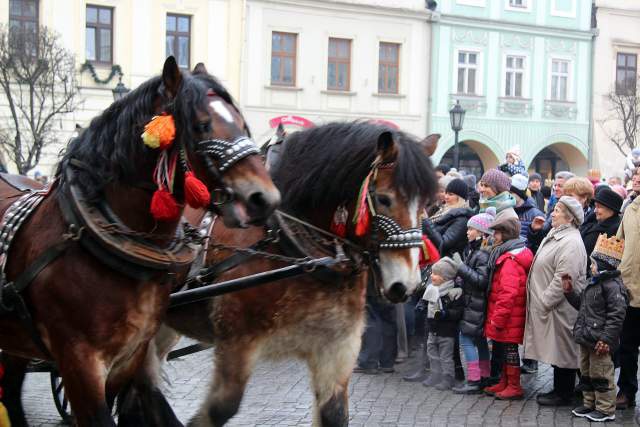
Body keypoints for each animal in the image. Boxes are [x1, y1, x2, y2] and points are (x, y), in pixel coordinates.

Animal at [119, 122, 440, 426]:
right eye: (384, 199)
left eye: (426, 203)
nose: (406, 285)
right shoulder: (237, 342)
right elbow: (219, 410)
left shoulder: (336, 346)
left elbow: (335, 414)